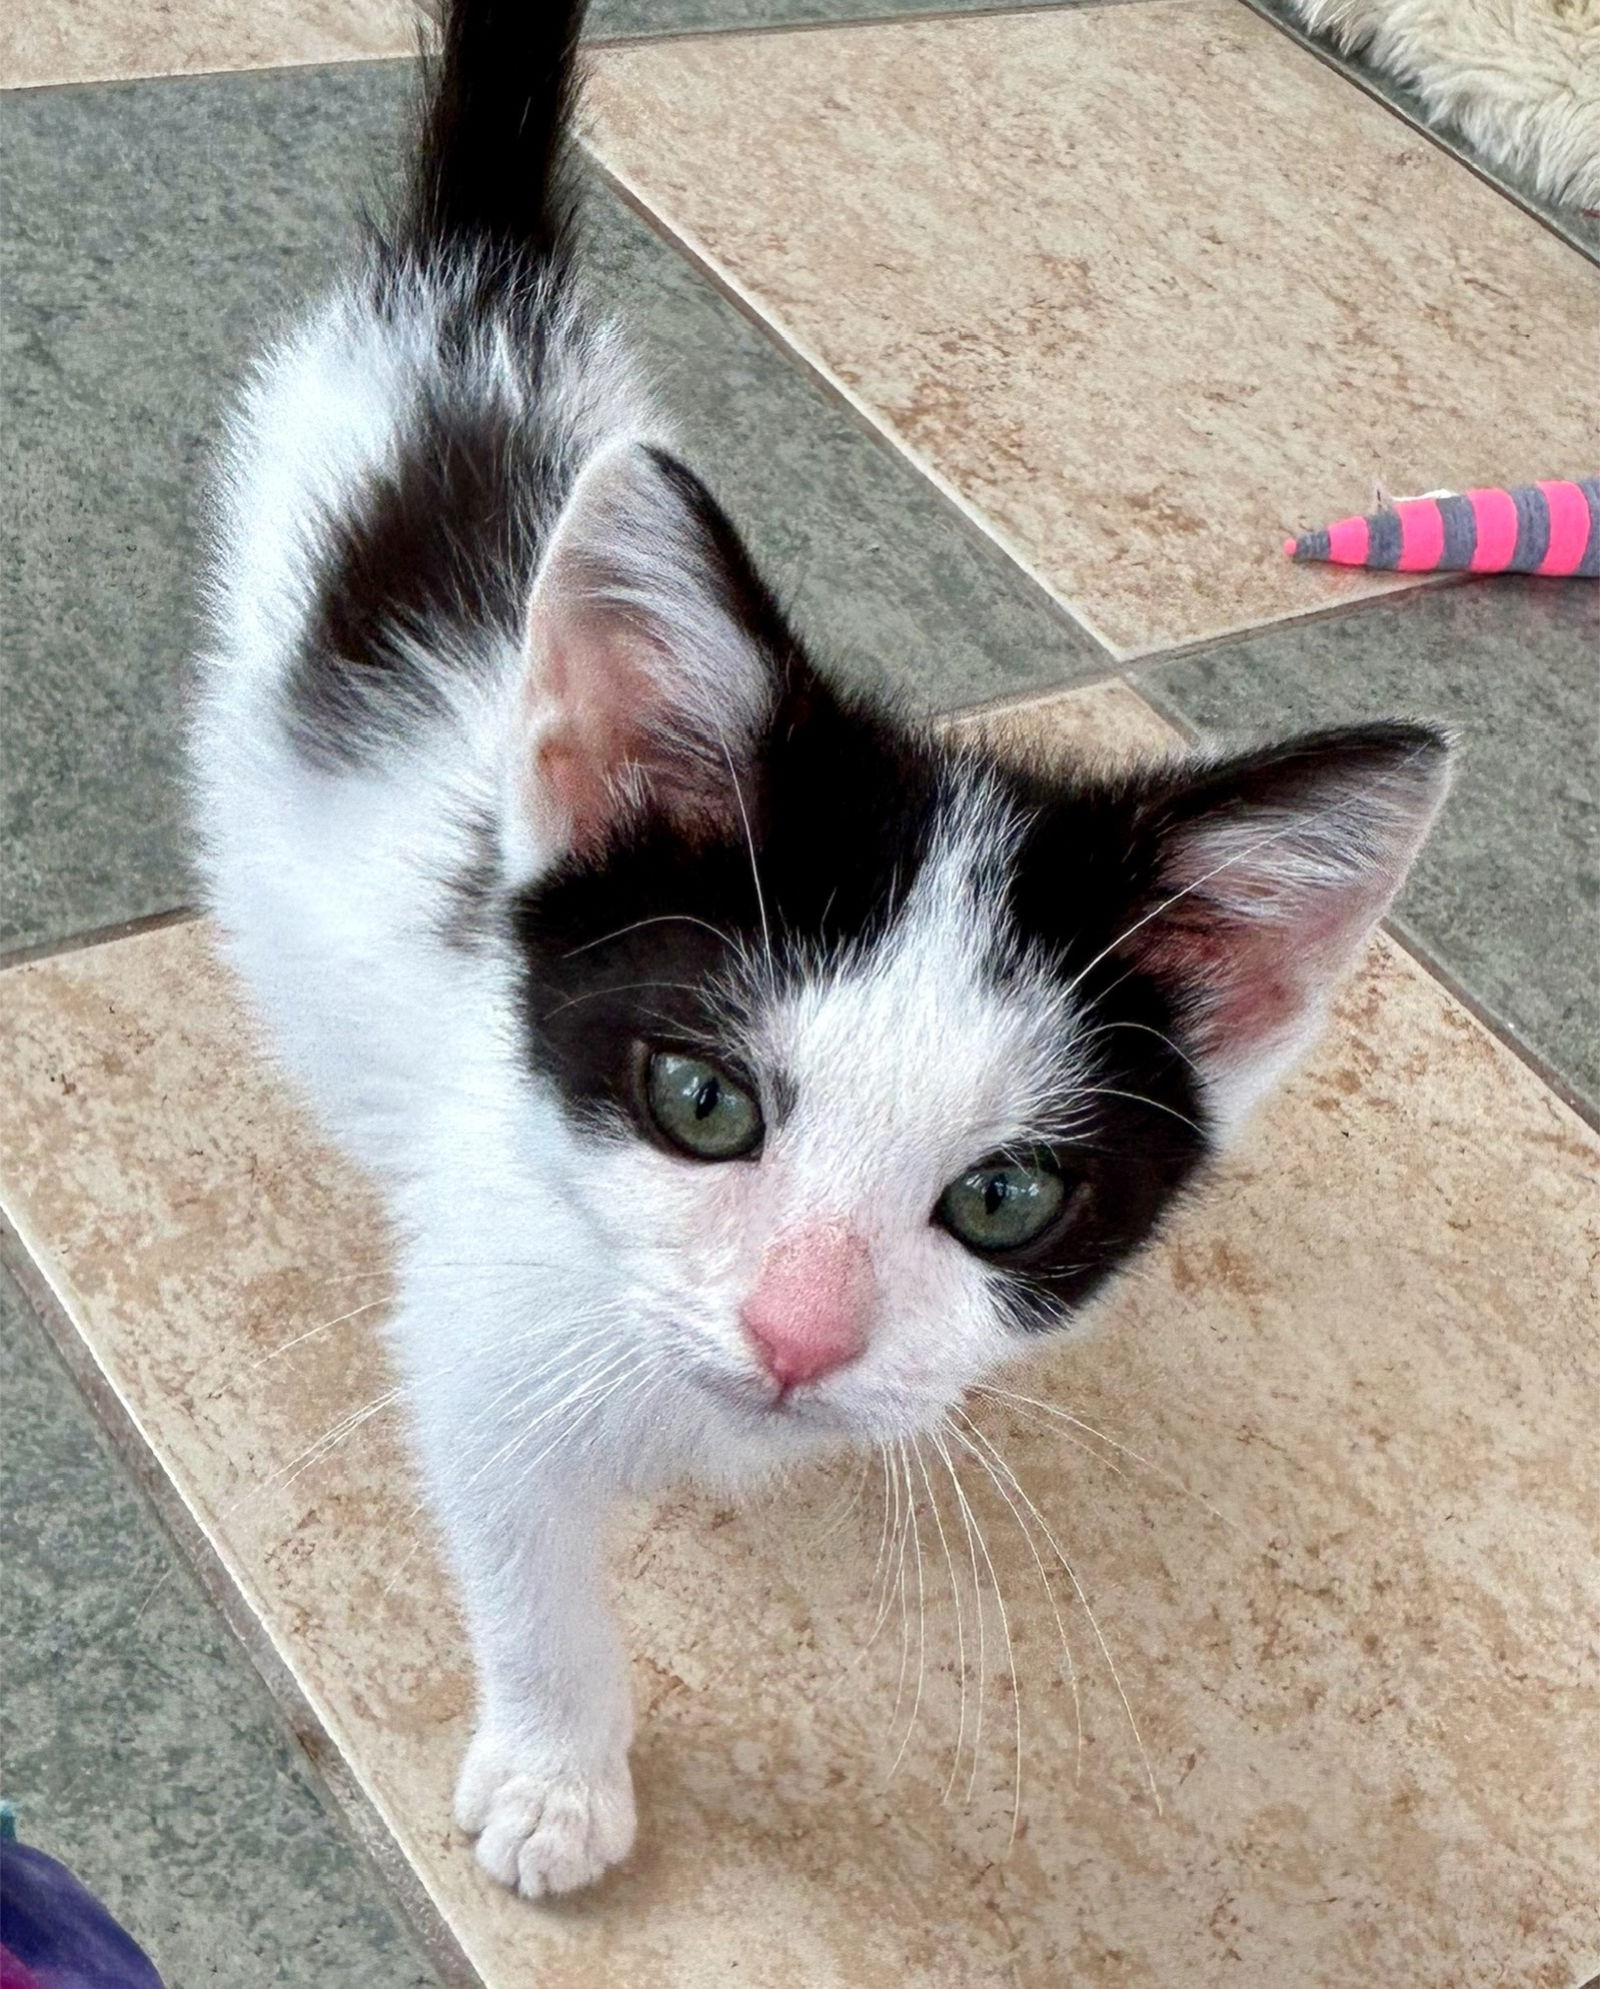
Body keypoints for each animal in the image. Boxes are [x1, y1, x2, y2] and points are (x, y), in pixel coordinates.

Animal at [191, 0, 1448, 1901]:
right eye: (702, 1100)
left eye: (1005, 1196)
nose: (795, 1339)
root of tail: (482, 292)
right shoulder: (486, 1310)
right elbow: (517, 1534)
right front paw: (559, 1774)